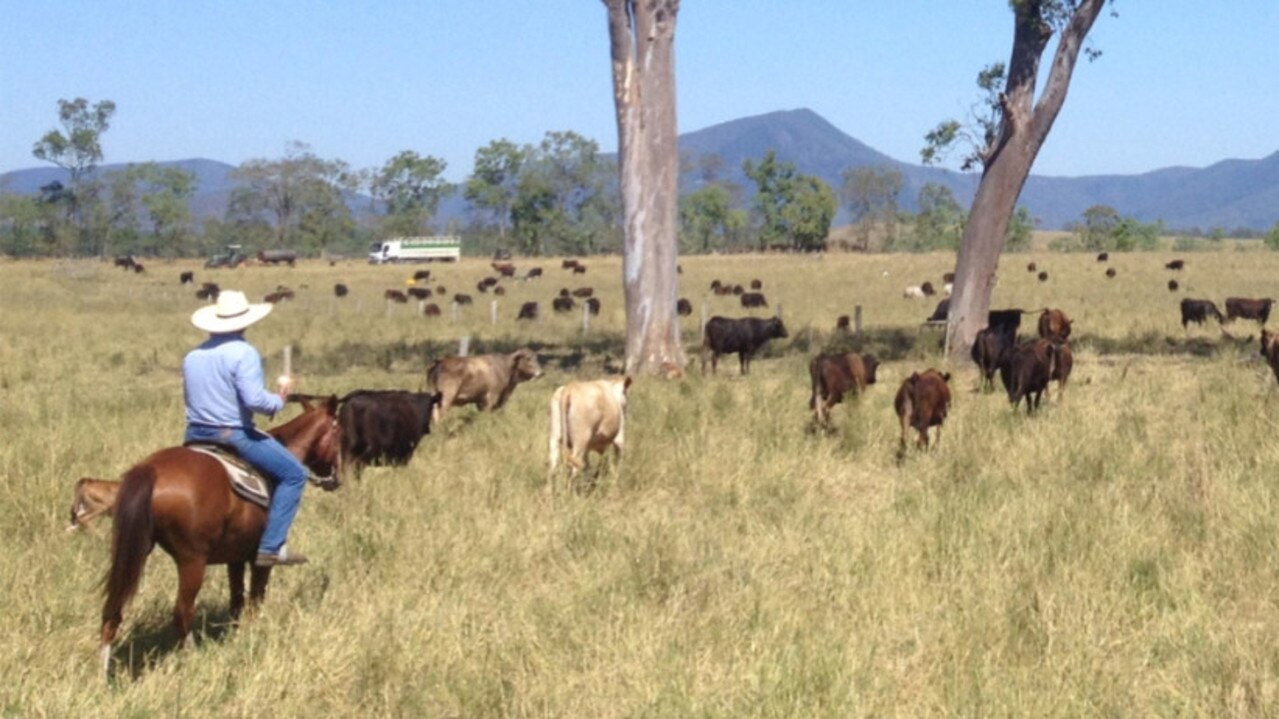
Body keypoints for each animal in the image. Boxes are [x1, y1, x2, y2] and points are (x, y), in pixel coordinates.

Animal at [99, 394, 342, 675]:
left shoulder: (235, 558)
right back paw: (192, 657)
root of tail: (152, 469)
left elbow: (236, 601)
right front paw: (252, 636)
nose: (335, 478)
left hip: (133, 552)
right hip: (192, 561)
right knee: (182, 612)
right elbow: (255, 599)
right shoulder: (259, 560)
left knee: (113, 609)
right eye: (338, 431)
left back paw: (102, 672)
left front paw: (236, 638)